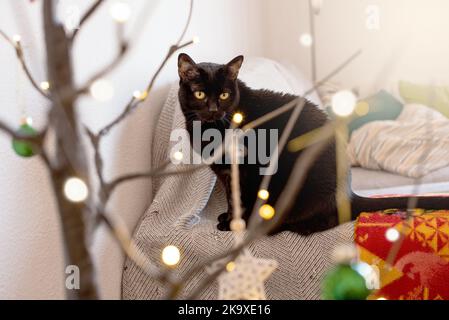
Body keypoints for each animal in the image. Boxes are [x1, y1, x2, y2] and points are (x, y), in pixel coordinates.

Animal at [177, 53, 446, 235]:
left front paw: (233, 224)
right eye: (200, 94)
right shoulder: (225, 173)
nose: (214, 109)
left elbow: (239, 198)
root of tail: (348, 193)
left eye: (224, 95)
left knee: (324, 221)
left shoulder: (242, 170)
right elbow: (231, 197)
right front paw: (228, 217)